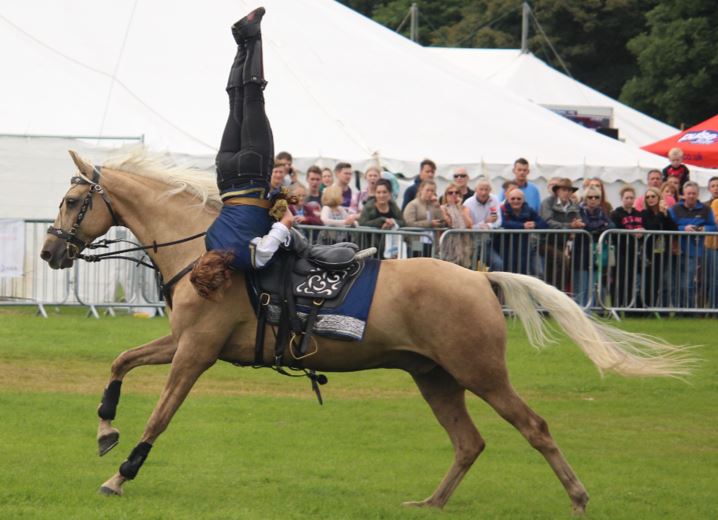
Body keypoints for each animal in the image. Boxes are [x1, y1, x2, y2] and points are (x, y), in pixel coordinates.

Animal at [40, 148, 691, 514]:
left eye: (72, 201)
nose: (49, 251)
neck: (212, 249)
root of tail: (481, 279)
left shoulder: (195, 352)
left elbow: (160, 414)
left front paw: (120, 476)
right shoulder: (181, 342)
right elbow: (121, 362)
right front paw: (105, 429)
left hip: (480, 373)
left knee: (533, 427)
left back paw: (577, 498)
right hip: (436, 378)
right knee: (469, 443)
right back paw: (431, 503)